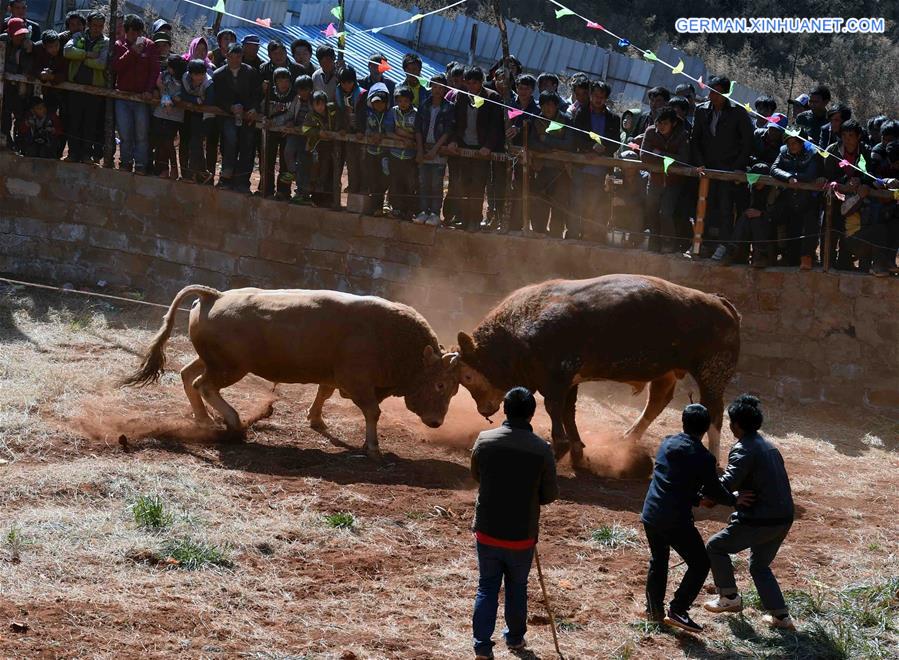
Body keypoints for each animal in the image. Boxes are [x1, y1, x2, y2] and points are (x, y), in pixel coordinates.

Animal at [123, 284, 460, 458]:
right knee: (204, 385)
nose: (436, 422)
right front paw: (373, 447)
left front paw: (316, 419)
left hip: (213, 361)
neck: (390, 337)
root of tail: (214, 296)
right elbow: (372, 412)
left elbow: (324, 392)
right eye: (440, 385)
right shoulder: (358, 382)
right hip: (229, 368)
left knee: (187, 376)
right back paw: (233, 422)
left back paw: (204, 419)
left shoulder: (332, 375)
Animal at [454, 274, 740, 464]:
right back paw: (627, 438)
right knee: (657, 402)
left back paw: (714, 457)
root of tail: (719, 302)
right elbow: (568, 412)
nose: (484, 411)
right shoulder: (570, 381)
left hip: (712, 373)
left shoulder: (557, 379)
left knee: (714, 412)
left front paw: (560, 447)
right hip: (666, 372)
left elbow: (555, 409)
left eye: (467, 376)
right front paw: (577, 448)